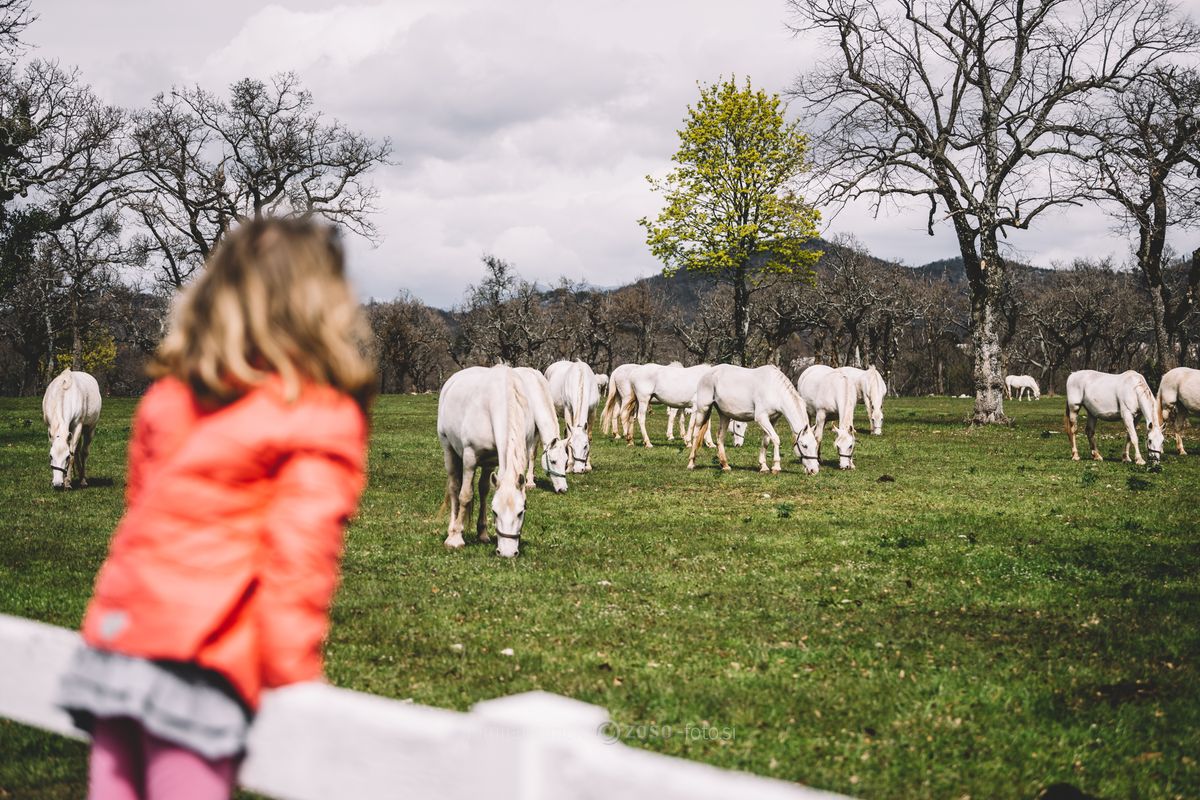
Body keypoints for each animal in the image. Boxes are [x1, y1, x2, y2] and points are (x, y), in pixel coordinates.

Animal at [436, 364, 530, 556]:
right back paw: (452, 530)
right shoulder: (470, 458)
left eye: (521, 512)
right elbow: (465, 496)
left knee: (483, 489)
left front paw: (483, 534)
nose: (507, 552)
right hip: (449, 449)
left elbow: (484, 491)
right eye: (495, 512)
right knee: (454, 488)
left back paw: (482, 533)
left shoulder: (492, 461)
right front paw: (456, 538)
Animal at [691, 364, 820, 472]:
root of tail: (708, 373)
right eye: (804, 445)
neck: (775, 390)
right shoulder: (761, 418)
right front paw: (776, 467)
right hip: (703, 409)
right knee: (696, 433)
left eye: (815, 445)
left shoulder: (772, 420)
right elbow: (776, 439)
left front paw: (763, 466)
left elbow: (766, 441)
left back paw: (725, 465)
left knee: (720, 437)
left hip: (724, 415)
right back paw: (691, 463)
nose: (814, 470)